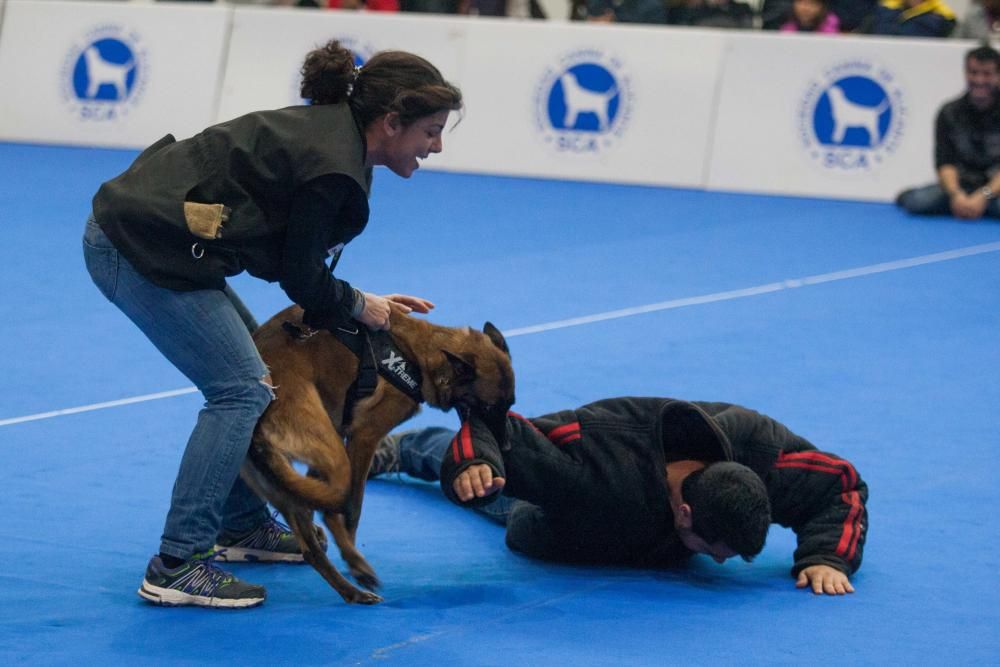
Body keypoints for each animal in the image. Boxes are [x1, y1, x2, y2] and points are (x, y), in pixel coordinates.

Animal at [238, 302, 512, 604]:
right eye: (487, 408)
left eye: (510, 404)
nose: (507, 447)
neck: (419, 355)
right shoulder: (363, 437)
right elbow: (353, 510)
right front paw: (353, 559)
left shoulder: (339, 437)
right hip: (335, 459)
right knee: (335, 506)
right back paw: (356, 569)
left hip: (290, 480)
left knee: (311, 546)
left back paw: (351, 592)